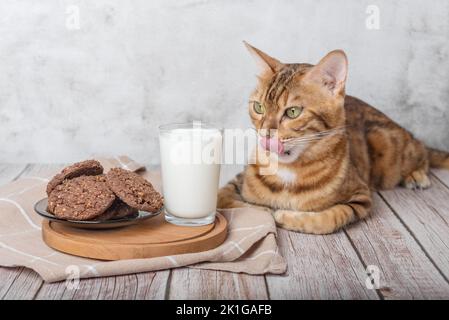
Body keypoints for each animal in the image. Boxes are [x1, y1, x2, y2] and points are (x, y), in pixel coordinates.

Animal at [215, 41, 446, 234]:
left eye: (293, 112)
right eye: (258, 107)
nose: (265, 133)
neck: (288, 170)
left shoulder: (360, 198)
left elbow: (329, 218)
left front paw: (285, 215)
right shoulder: (236, 180)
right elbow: (227, 199)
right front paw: (263, 209)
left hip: (387, 142)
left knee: (421, 150)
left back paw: (416, 175)